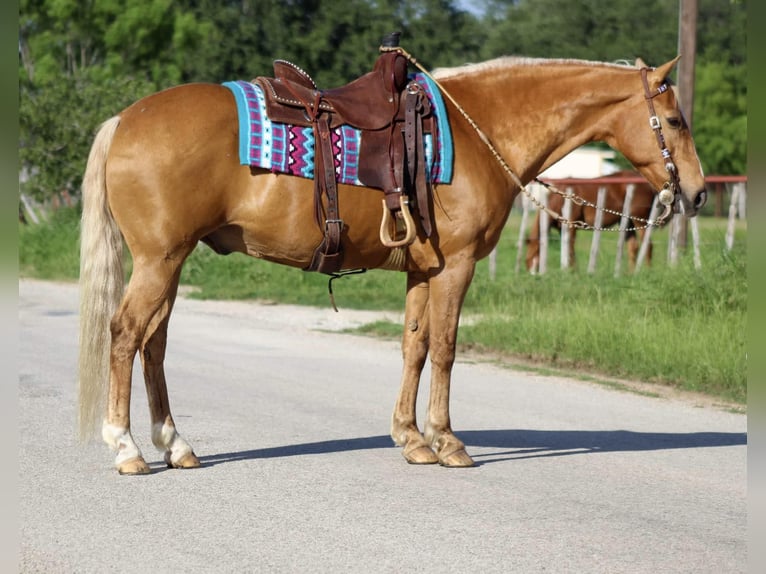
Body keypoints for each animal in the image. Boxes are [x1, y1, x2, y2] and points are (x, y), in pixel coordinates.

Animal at [524, 170, 664, 274]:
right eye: (527, 261)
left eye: (531, 258)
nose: (532, 274)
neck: (560, 198)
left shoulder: (571, 226)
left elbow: (570, 248)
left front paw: (574, 271)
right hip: (627, 222)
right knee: (633, 246)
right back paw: (631, 273)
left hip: (639, 221)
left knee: (648, 245)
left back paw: (646, 271)